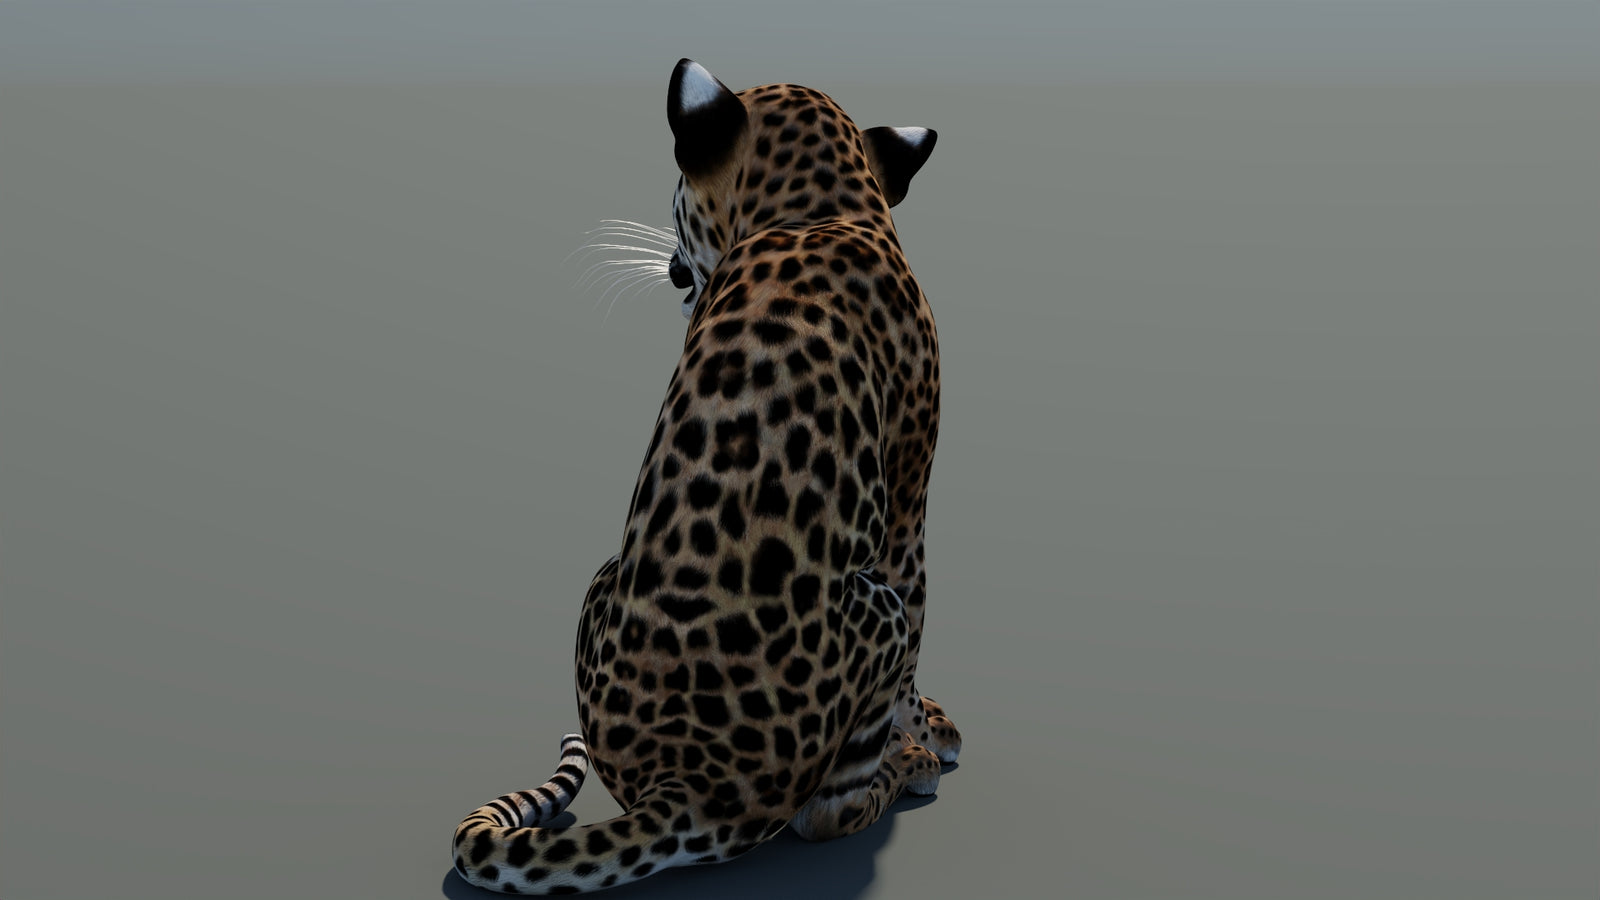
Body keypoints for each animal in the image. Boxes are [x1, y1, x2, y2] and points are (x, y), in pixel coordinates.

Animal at [451, 59, 961, 895]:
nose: (670, 269)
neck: (825, 208)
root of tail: (684, 786)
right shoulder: (909, 495)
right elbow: (918, 622)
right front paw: (928, 734)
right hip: (867, 608)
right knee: (824, 816)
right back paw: (900, 771)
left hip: (605, 573)